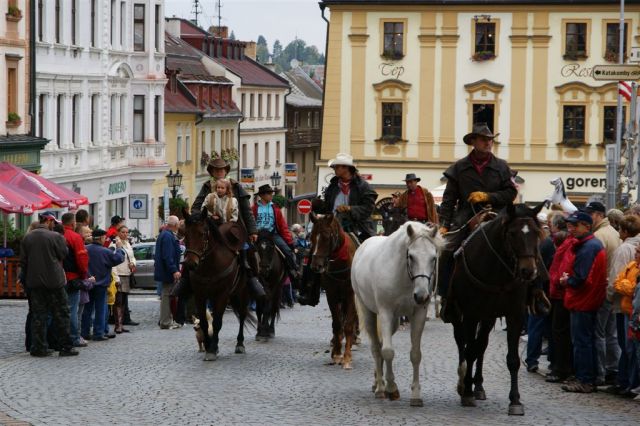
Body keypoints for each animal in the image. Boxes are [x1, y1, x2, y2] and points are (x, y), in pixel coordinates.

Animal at [181, 208, 254, 362]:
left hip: (242, 292)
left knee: (242, 315)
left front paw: (212, 349)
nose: (190, 264)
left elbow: (217, 322)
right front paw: (210, 346)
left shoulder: (222, 294)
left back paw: (240, 344)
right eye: (185, 234)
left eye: (202, 234)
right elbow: (204, 321)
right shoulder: (200, 295)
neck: (210, 265)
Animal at [310, 212, 360, 370]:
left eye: (326, 236)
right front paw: (337, 354)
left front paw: (347, 357)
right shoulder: (331, 295)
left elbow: (348, 325)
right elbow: (337, 323)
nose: (316, 266)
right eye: (311, 237)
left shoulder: (351, 295)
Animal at [352, 223, 442, 406]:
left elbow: (415, 354)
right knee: (376, 347)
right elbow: (388, 352)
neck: (404, 278)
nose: (421, 295)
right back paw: (380, 388)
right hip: (369, 311)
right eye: (411, 256)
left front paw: (416, 395)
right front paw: (391, 388)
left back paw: (377, 381)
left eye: (433, 258)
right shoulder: (385, 312)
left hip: (395, 321)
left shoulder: (418, 314)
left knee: (380, 345)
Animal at [450, 203, 544, 416]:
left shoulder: (515, 316)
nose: (529, 271)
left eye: (536, 232)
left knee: (481, 346)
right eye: (512, 233)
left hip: (488, 318)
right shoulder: (470, 314)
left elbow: (512, 359)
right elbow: (469, 350)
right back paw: (463, 383)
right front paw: (466, 392)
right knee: (463, 344)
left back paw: (478, 386)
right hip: (461, 316)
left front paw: (515, 401)